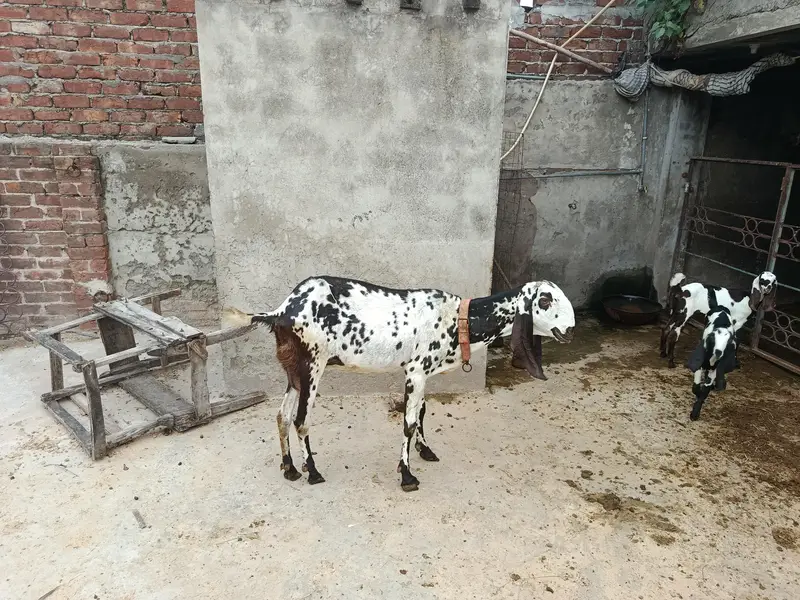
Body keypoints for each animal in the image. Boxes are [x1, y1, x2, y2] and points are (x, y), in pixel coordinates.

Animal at [227, 276, 575, 492]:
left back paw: (289, 468)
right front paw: (407, 475)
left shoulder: (420, 373)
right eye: (545, 299)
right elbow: (407, 423)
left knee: (282, 415)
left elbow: (420, 413)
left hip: (293, 371)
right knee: (301, 419)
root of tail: (281, 311)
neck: (458, 318)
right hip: (312, 364)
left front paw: (426, 450)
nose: (570, 329)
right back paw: (312, 472)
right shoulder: (416, 372)